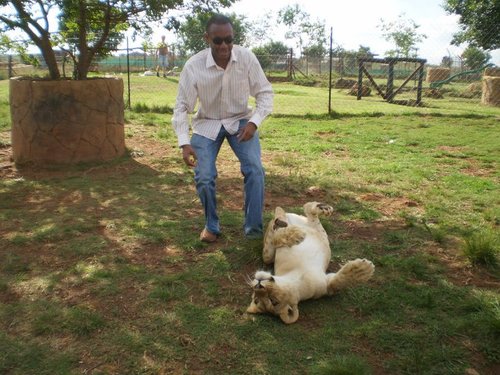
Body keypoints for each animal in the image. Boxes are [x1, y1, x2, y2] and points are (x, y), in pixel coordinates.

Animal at [246, 201, 376, 324]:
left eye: (273, 300)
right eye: (256, 298)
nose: (258, 284)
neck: (296, 279)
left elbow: (336, 282)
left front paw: (362, 269)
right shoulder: (325, 287)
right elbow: (335, 284)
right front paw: (364, 269)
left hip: (312, 231)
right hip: (317, 232)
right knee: (307, 215)